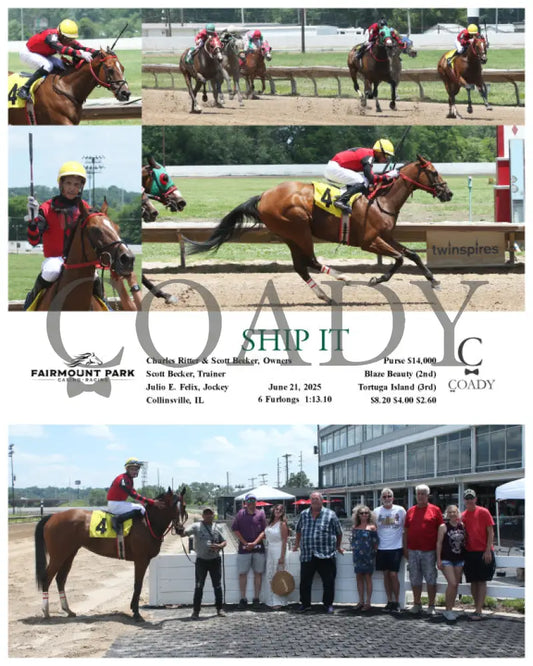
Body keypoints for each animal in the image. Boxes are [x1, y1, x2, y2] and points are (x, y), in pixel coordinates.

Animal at [35, 487, 187, 621]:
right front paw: (136, 613)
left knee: (60, 579)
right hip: (58, 556)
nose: (180, 528)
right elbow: (137, 585)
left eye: (184, 506)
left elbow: (137, 584)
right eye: (172, 506)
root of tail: (53, 516)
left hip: (69, 555)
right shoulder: (141, 560)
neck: (148, 522)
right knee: (47, 578)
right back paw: (46, 611)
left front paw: (134, 609)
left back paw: (68, 610)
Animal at [187, 157, 453, 304]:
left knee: (301, 266)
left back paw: (325, 295)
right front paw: (377, 279)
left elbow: (412, 255)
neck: (382, 199)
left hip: (289, 235)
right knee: (310, 261)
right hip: (299, 229)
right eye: (433, 172)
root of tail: (264, 195)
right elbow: (398, 259)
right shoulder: (368, 241)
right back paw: (342, 277)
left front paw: (434, 281)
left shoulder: (386, 236)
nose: (448, 193)